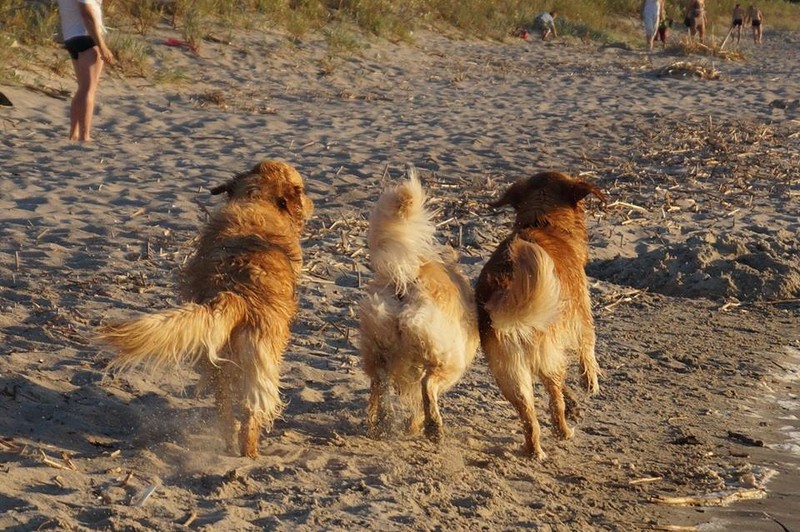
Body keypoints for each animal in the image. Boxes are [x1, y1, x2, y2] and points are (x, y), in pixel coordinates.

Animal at [97, 159, 312, 458]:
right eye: (301, 189)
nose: (311, 203)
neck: (257, 200)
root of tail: (235, 292)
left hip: (217, 357)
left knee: (224, 408)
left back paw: (229, 441)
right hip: (260, 363)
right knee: (251, 414)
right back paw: (250, 452)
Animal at [360, 170, 478, 444]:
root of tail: (409, 277)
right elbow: (421, 400)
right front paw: (418, 425)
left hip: (377, 347)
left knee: (380, 383)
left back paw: (380, 424)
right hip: (447, 359)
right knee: (428, 386)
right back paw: (434, 428)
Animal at [476, 172, 600, 460]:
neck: (544, 222)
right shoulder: (581, 314)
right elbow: (587, 347)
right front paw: (590, 380)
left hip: (510, 372)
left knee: (528, 414)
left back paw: (534, 449)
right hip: (545, 354)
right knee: (554, 401)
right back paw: (564, 431)